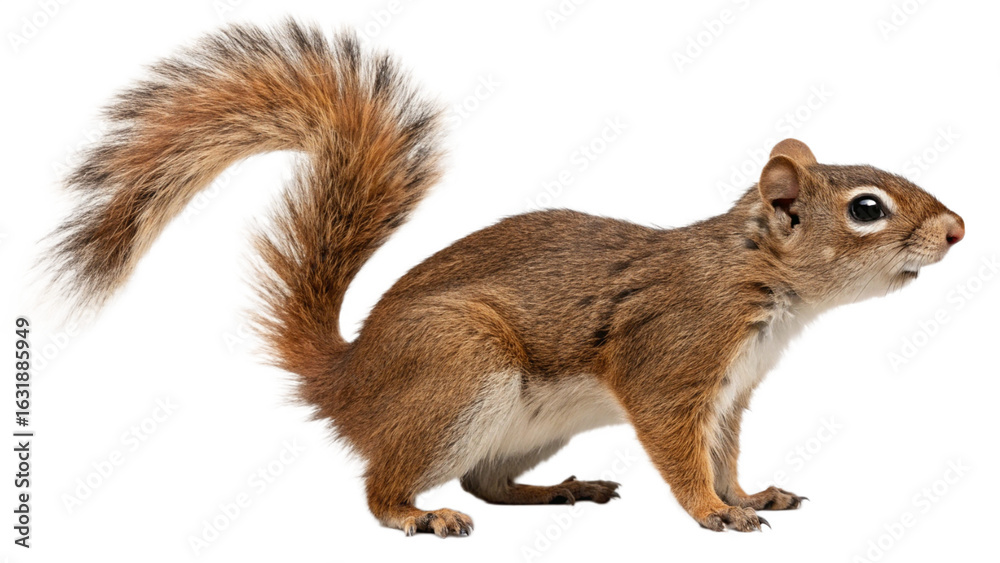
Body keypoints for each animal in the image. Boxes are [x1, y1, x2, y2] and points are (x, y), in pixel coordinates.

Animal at [45, 21, 965, 537]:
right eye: (869, 208)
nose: (958, 230)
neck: (762, 283)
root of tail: (347, 380)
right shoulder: (673, 356)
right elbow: (680, 451)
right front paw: (713, 511)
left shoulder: (732, 391)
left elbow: (725, 452)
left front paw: (750, 491)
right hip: (460, 370)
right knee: (389, 483)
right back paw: (417, 514)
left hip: (521, 421)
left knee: (486, 480)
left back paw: (561, 489)